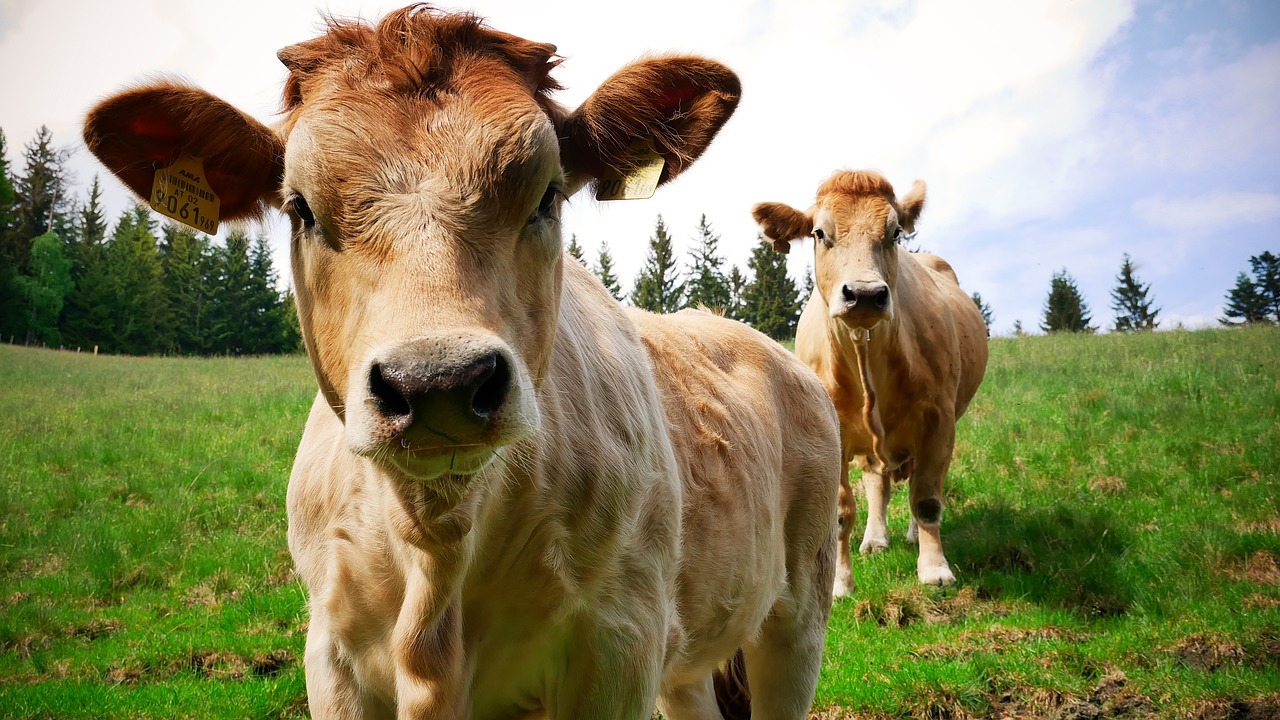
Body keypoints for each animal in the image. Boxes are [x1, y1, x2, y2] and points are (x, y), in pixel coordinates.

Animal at [83, 7, 841, 718]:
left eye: (547, 195)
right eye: (300, 208)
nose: (438, 381)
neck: (436, 549)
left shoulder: (619, 643)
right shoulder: (332, 657)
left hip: (798, 613)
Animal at [752, 170, 988, 589]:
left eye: (894, 233)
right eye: (819, 233)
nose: (864, 294)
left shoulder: (939, 420)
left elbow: (927, 498)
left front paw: (934, 569)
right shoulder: (830, 433)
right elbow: (841, 511)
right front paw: (839, 582)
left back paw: (911, 537)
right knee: (878, 480)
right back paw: (876, 538)